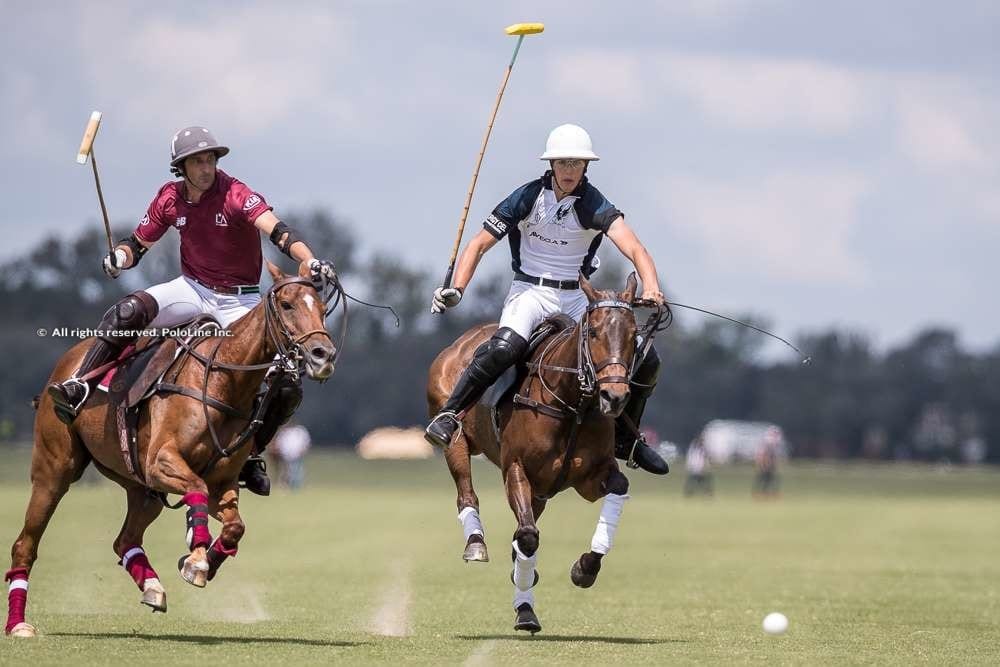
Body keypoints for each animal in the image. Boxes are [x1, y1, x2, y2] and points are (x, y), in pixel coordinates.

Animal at [2, 260, 340, 636]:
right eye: (287, 305)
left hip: (141, 487)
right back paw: (18, 625)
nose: (323, 355)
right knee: (25, 544)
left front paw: (203, 561)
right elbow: (196, 489)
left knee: (125, 539)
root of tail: (66, 364)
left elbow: (235, 526)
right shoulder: (162, 462)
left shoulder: (221, 482)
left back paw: (152, 587)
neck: (223, 382)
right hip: (55, 469)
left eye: (322, 308)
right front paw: (196, 555)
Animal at [430, 274, 656, 636]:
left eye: (634, 335)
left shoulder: (592, 477)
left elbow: (617, 489)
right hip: (456, 441)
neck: (573, 405)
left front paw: (585, 568)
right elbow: (527, 536)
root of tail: (461, 342)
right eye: (594, 332)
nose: (615, 396)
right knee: (467, 494)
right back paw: (477, 545)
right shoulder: (516, 468)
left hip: (542, 491)